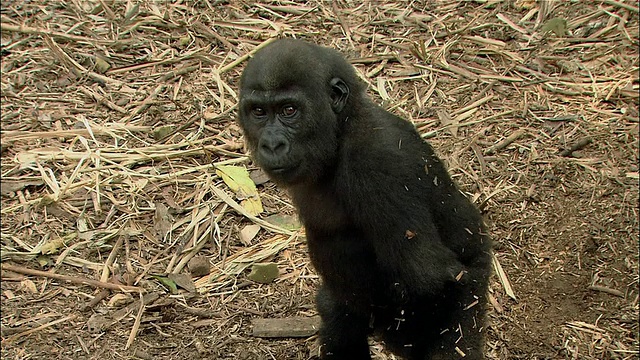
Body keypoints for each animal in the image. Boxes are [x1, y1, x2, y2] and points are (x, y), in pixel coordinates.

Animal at [238, 39, 492, 360]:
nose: (272, 144)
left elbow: (436, 280)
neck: (344, 124)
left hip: (472, 292)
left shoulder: (376, 165)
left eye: (289, 110)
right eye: (258, 112)